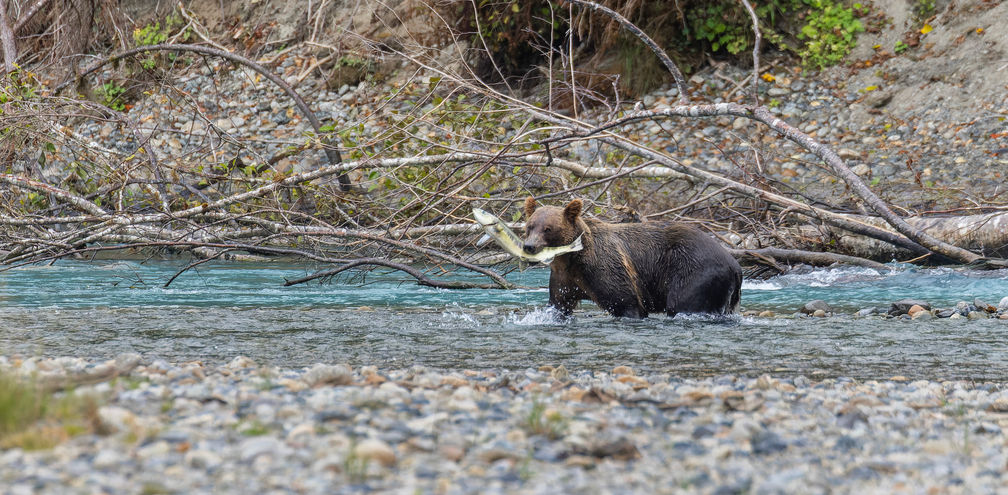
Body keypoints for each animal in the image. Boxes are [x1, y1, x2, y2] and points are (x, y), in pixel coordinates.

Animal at [522, 197, 742, 318]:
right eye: (530, 226)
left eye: (548, 229)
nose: (529, 246)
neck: (571, 258)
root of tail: (735, 265)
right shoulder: (565, 278)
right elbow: (559, 304)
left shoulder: (605, 268)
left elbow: (626, 302)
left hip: (694, 270)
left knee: (683, 303)